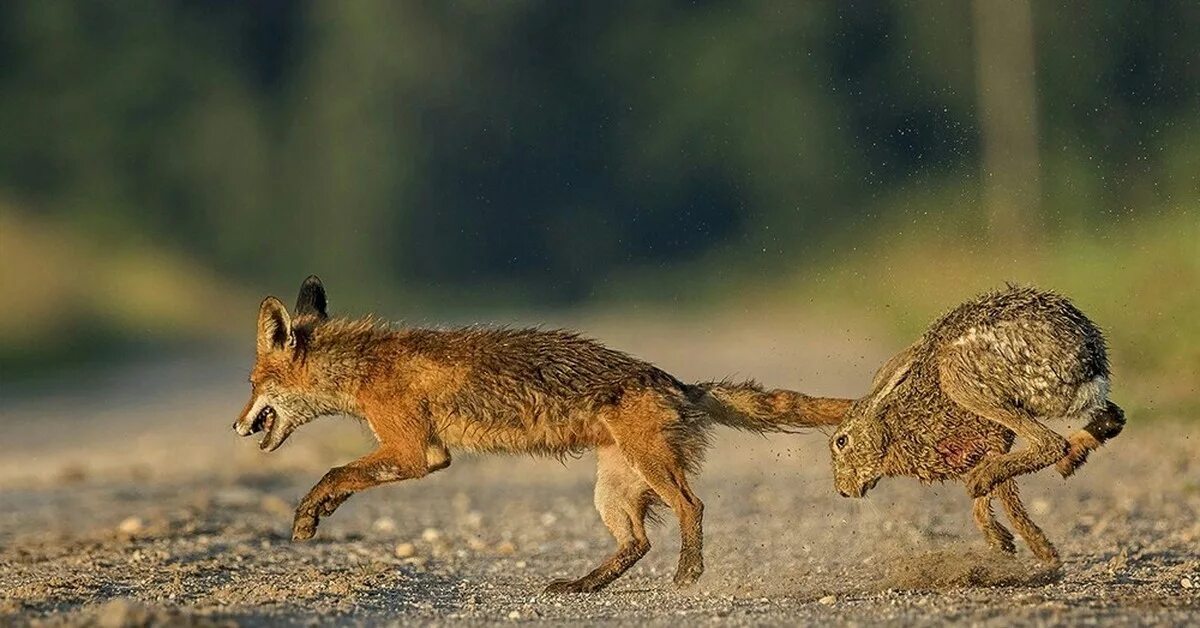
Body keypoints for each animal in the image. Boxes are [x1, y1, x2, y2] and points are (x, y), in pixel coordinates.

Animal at [231, 276, 854, 595]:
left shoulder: (419, 452)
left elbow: (336, 472)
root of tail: (677, 382)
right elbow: (344, 476)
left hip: (653, 471)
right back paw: (582, 586)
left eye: (253, 384)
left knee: (692, 507)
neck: (364, 369)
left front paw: (310, 514)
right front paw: (317, 515)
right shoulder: (407, 453)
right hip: (612, 492)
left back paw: (687, 573)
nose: (235, 425)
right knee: (638, 542)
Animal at [825, 286, 1123, 561]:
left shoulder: (988, 438)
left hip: (961, 377)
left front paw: (1038, 548)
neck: (890, 426)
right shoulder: (991, 443)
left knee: (1050, 443)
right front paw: (1002, 541)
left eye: (841, 441)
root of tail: (1086, 366)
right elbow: (996, 497)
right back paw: (1069, 462)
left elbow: (1005, 497)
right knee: (1113, 416)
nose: (842, 491)